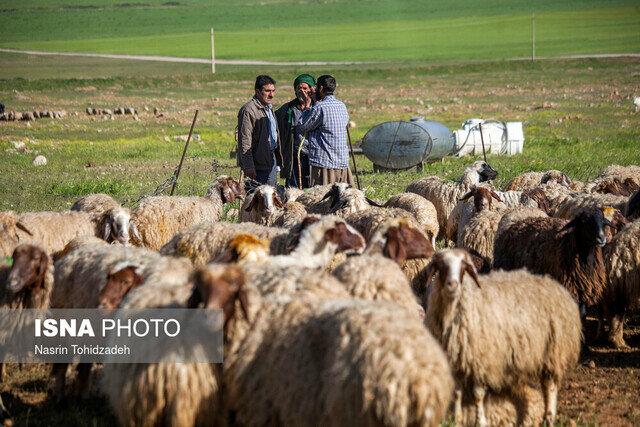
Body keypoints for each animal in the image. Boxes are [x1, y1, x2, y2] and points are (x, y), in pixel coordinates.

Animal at [424, 249, 580, 426]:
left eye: (463, 267)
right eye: (441, 266)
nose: (453, 285)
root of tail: (554, 284)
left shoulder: (481, 360)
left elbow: (478, 394)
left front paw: (481, 421)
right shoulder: (454, 361)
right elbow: (456, 393)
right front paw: (456, 420)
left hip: (553, 351)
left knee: (550, 387)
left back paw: (549, 417)